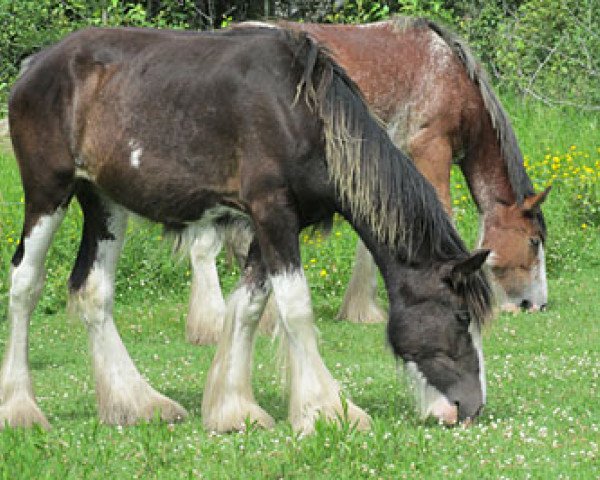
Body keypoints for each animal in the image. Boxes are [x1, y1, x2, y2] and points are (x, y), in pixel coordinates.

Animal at [3, 26, 492, 434]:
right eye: (461, 315)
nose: (469, 408)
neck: (301, 115)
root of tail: (34, 66)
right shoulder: (273, 213)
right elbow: (295, 308)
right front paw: (327, 410)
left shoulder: (269, 225)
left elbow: (249, 307)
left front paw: (234, 410)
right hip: (48, 193)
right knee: (25, 283)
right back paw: (21, 410)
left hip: (104, 203)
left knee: (93, 291)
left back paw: (138, 404)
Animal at [186, 15, 548, 344]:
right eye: (533, 241)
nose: (536, 305)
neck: (451, 73)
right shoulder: (430, 148)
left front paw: (361, 309)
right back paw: (219, 324)